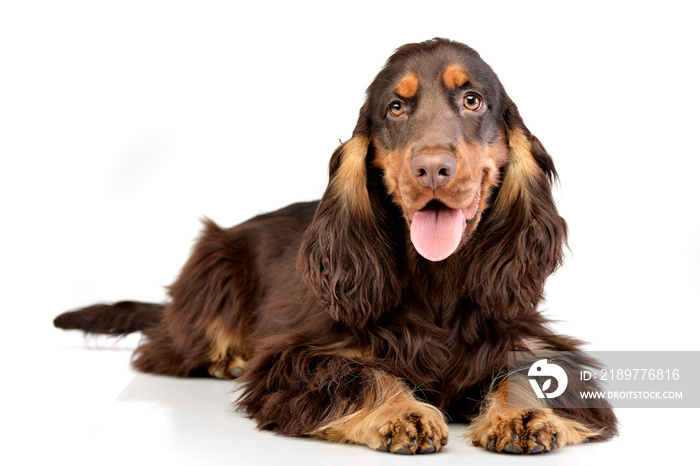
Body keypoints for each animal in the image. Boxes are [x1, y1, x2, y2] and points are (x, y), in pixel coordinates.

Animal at [57, 38, 620, 454]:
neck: (437, 277)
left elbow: (530, 370)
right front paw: (403, 412)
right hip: (214, 266)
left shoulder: (527, 337)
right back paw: (226, 359)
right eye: (395, 107)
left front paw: (525, 414)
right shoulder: (302, 357)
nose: (432, 168)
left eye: (472, 100)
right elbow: (360, 373)